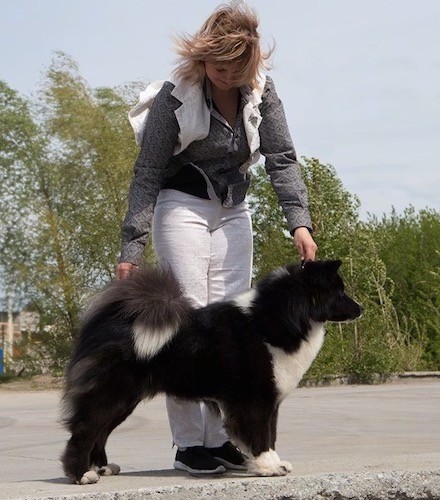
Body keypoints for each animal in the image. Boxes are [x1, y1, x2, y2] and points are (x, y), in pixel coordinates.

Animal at [62, 260, 364, 482]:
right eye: (339, 292)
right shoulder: (255, 399)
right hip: (113, 394)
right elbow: (261, 435)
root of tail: (114, 322)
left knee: (100, 432)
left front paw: (272, 463)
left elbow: (271, 434)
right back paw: (82, 475)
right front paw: (268, 466)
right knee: (84, 431)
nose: (360, 309)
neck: (275, 319)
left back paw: (102, 468)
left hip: (125, 401)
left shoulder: (270, 401)